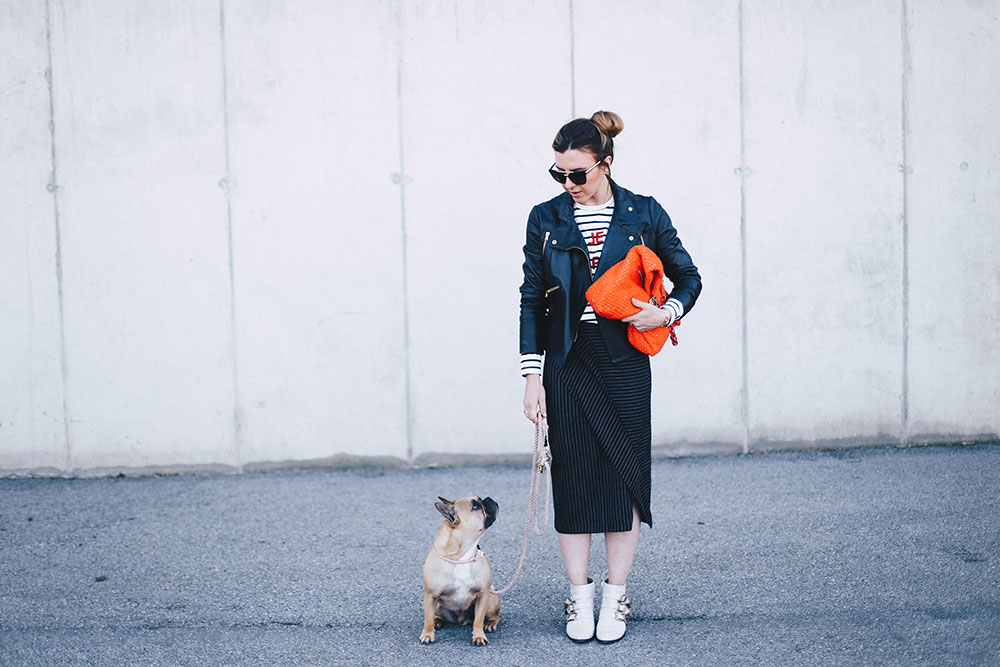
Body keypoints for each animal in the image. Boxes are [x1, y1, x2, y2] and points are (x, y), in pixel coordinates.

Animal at [420, 496, 500, 648]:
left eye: (480, 500)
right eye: (476, 506)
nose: (488, 498)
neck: (461, 556)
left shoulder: (483, 595)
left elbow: (478, 620)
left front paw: (479, 636)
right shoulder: (430, 595)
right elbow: (427, 619)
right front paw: (427, 634)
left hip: (491, 600)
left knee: (494, 616)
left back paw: (490, 624)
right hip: (437, 604)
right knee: (435, 616)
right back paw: (437, 621)